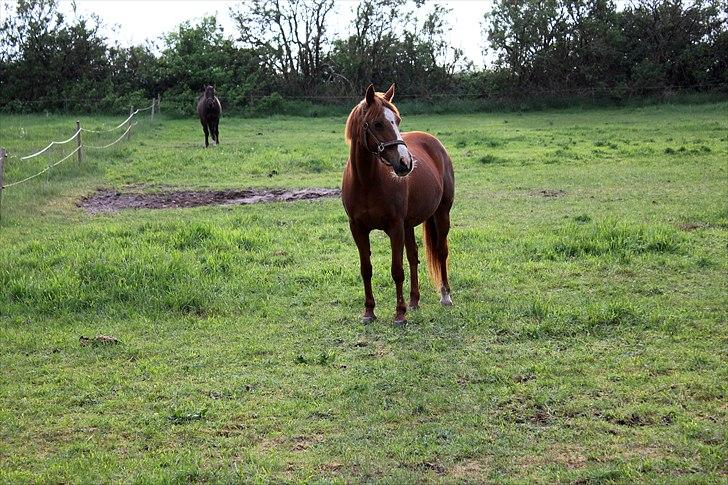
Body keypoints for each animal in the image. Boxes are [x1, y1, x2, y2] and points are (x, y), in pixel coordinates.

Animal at [342, 84, 456, 324]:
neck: (366, 181)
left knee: (441, 251)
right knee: (413, 257)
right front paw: (369, 311)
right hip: (409, 225)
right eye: (378, 123)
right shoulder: (358, 229)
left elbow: (397, 270)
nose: (405, 162)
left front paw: (400, 314)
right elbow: (366, 269)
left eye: (397, 120)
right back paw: (414, 301)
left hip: (442, 214)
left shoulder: (395, 227)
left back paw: (445, 296)